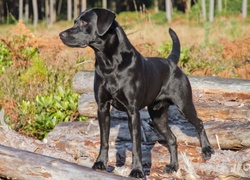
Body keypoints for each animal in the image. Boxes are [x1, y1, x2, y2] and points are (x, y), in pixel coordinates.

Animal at [59, 7, 214, 179]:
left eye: (84, 22)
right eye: (75, 21)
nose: (61, 34)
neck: (109, 64)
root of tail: (171, 62)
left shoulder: (132, 111)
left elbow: (136, 145)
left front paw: (137, 171)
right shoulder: (102, 107)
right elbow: (104, 139)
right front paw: (100, 163)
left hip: (184, 104)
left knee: (199, 123)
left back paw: (207, 150)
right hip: (157, 116)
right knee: (172, 139)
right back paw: (173, 166)